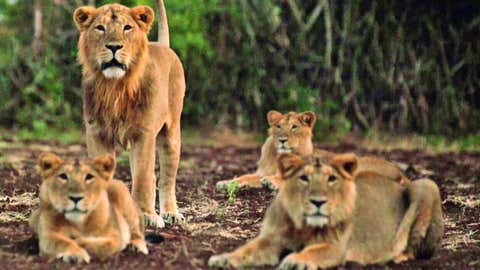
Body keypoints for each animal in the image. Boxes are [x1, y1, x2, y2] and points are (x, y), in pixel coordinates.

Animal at [73, 0, 186, 228]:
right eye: (100, 28)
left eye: (127, 28)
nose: (114, 47)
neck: (115, 87)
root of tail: (164, 46)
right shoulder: (97, 133)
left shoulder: (143, 134)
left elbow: (143, 178)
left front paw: (147, 216)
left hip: (171, 133)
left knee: (165, 178)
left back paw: (170, 213)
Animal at [209, 152, 442, 268]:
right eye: (304, 179)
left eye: (331, 180)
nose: (318, 202)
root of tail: (401, 175)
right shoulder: (273, 239)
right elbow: (248, 249)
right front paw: (224, 259)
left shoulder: (335, 248)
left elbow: (314, 251)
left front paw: (296, 260)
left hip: (426, 185)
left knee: (413, 247)